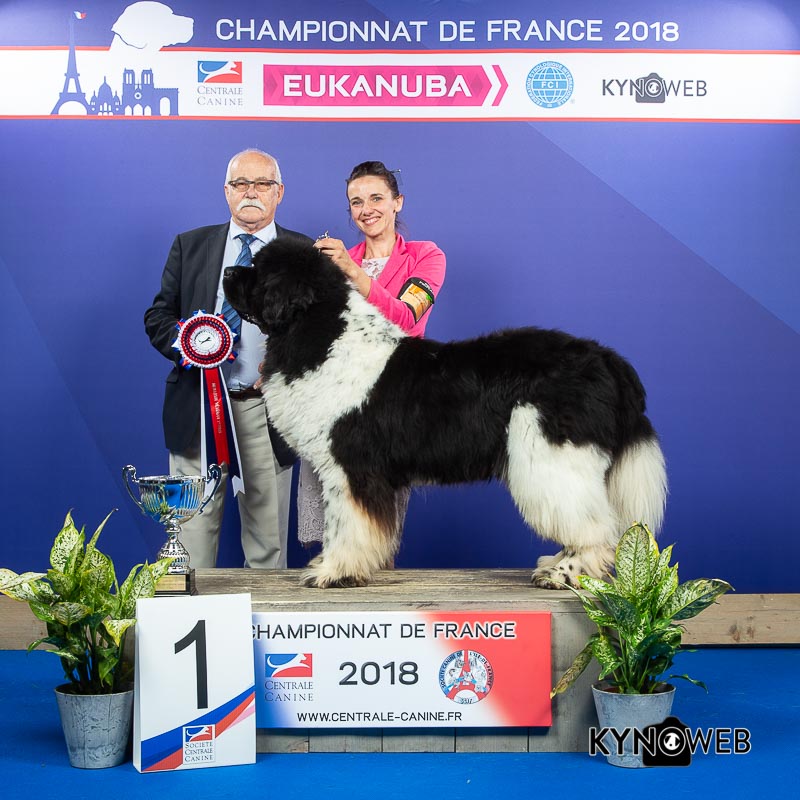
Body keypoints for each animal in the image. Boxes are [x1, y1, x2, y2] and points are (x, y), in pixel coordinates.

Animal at [223, 238, 667, 589]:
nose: (228, 269)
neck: (320, 332)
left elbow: (346, 524)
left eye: (259, 271)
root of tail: (607, 358)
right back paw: (555, 563)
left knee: (594, 526)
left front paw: (334, 572)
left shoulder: (352, 467)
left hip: (550, 454)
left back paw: (563, 573)